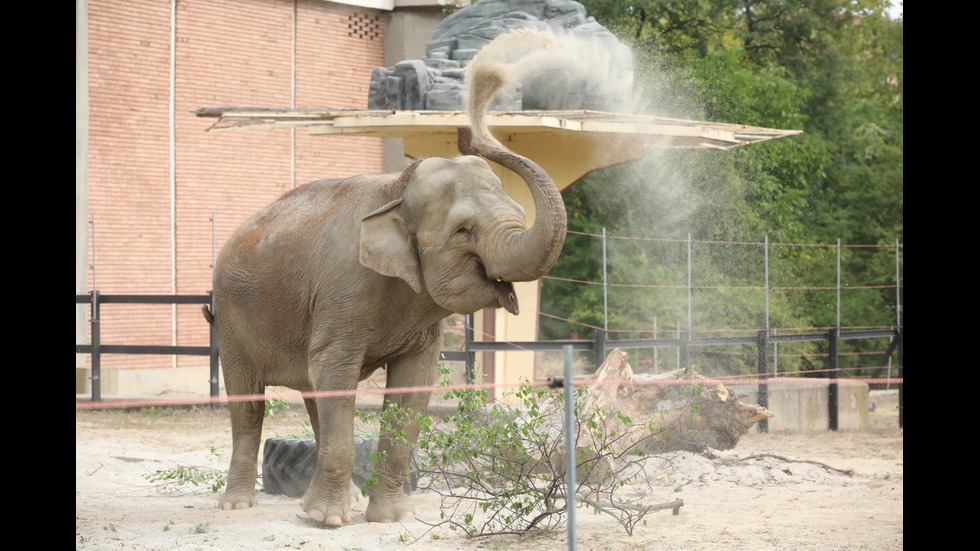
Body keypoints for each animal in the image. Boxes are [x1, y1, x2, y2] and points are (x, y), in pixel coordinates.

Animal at [205, 32, 568, 528]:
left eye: (517, 212)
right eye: (463, 231)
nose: (468, 128)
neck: (396, 187)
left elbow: (410, 384)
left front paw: (388, 517)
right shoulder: (343, 292)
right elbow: (335, 370)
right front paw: (328, 521)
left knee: (314, 393)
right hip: (231, 316)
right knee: (250, 402)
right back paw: (240, 505)